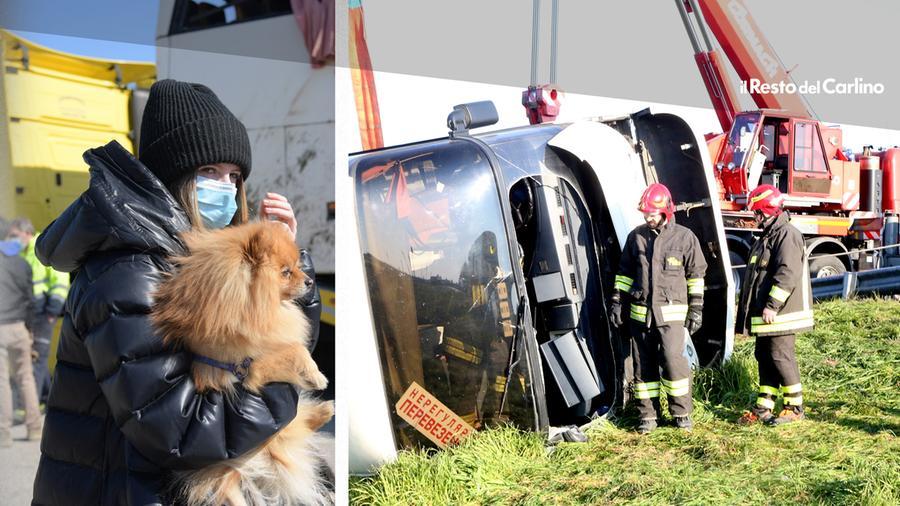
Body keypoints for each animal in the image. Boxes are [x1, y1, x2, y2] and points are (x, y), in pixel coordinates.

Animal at [153, 221, 336, 506]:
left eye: (297, 266)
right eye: (286, 272)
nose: (309, 281)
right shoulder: (250, 371)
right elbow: (294, 349)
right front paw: (315, 375)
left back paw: (324, 410)